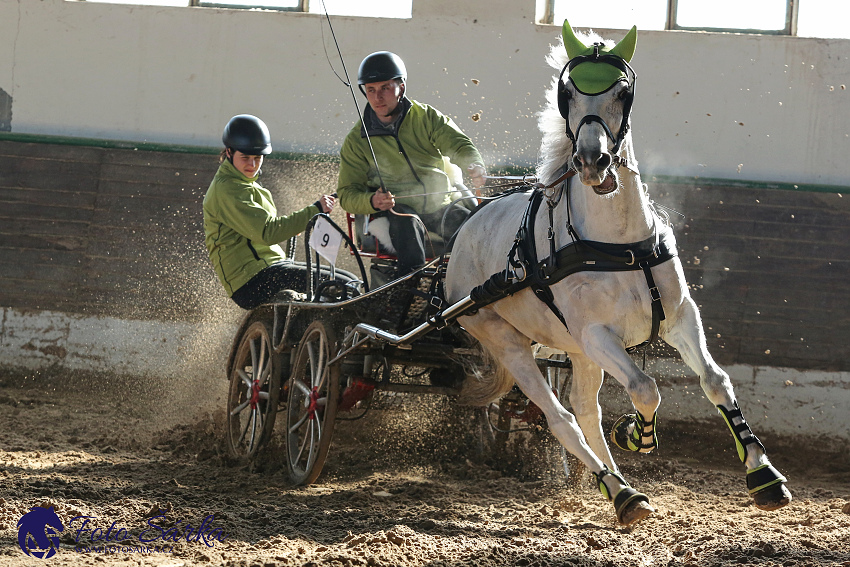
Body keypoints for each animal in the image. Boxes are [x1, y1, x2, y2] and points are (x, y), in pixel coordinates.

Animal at [448, 22, 792, 528]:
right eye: (568, 93)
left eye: (622, 92)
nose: (593, 162)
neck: (618, 245)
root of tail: (463, 232)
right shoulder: (597, 335)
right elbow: (645, 388)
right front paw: (636, 433)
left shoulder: (679, 316)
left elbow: (715, 380)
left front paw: (764, 474)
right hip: (507, 340)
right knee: (562, 419)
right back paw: (620, 493)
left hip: (575, 349)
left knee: (585, 411)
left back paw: (620, 486)